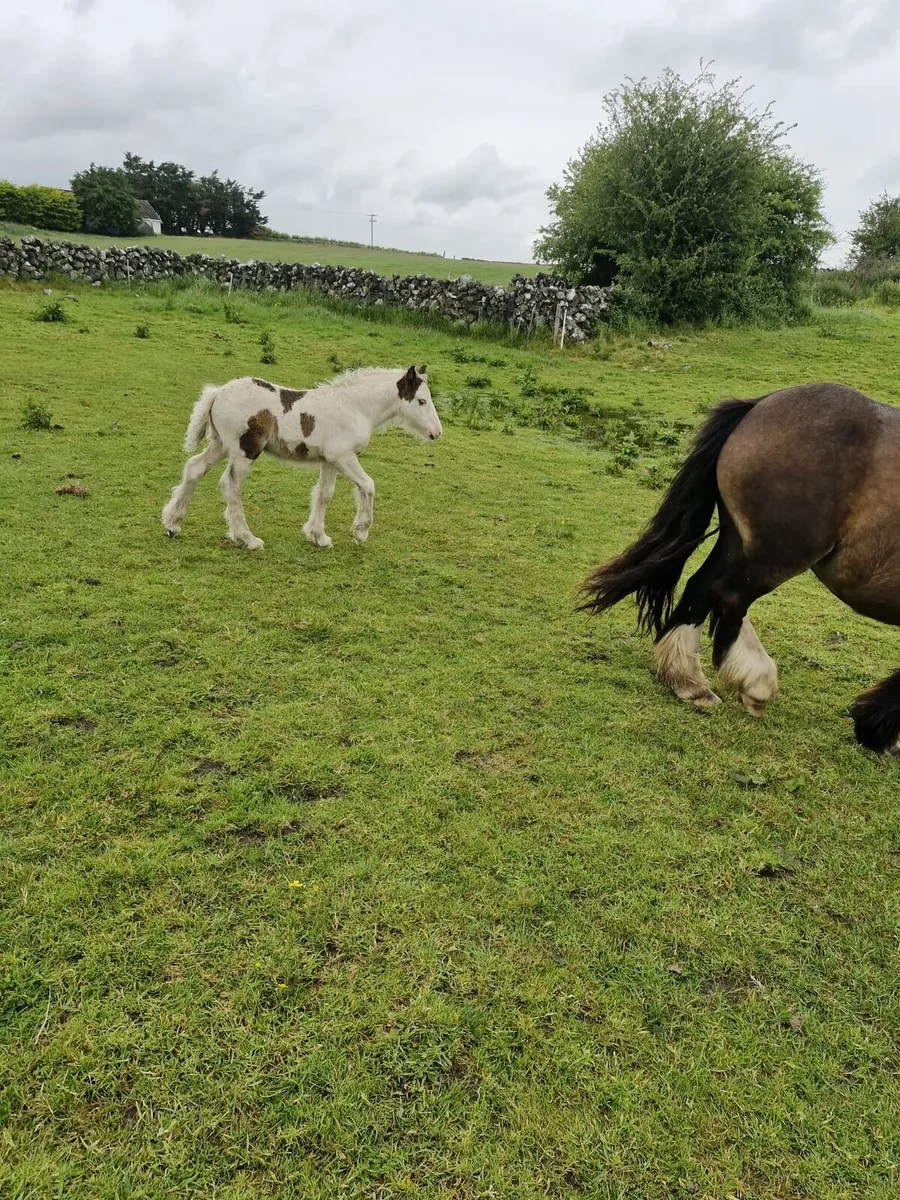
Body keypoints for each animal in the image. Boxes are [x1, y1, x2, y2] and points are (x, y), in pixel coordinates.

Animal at [162, 365, 442, 550]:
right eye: (421, 401)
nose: (436, 433)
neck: (355, 407)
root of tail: (218, 392)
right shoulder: (344, 457)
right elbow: (368, 485)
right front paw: (360, 531)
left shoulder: (330, 461)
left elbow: (324, 495)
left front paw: (319, 536)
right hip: (245, 450)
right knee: (230, 486)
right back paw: (248, 539)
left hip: (220, 445)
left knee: (194, 469)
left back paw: (173, 524)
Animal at [580, 382, 900, 755]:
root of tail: (759, 406)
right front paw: (878, 730)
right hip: (776, 554)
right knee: (728, 595)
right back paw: (753, 684)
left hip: (738, 541)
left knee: (702, 588)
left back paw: (689, 681)